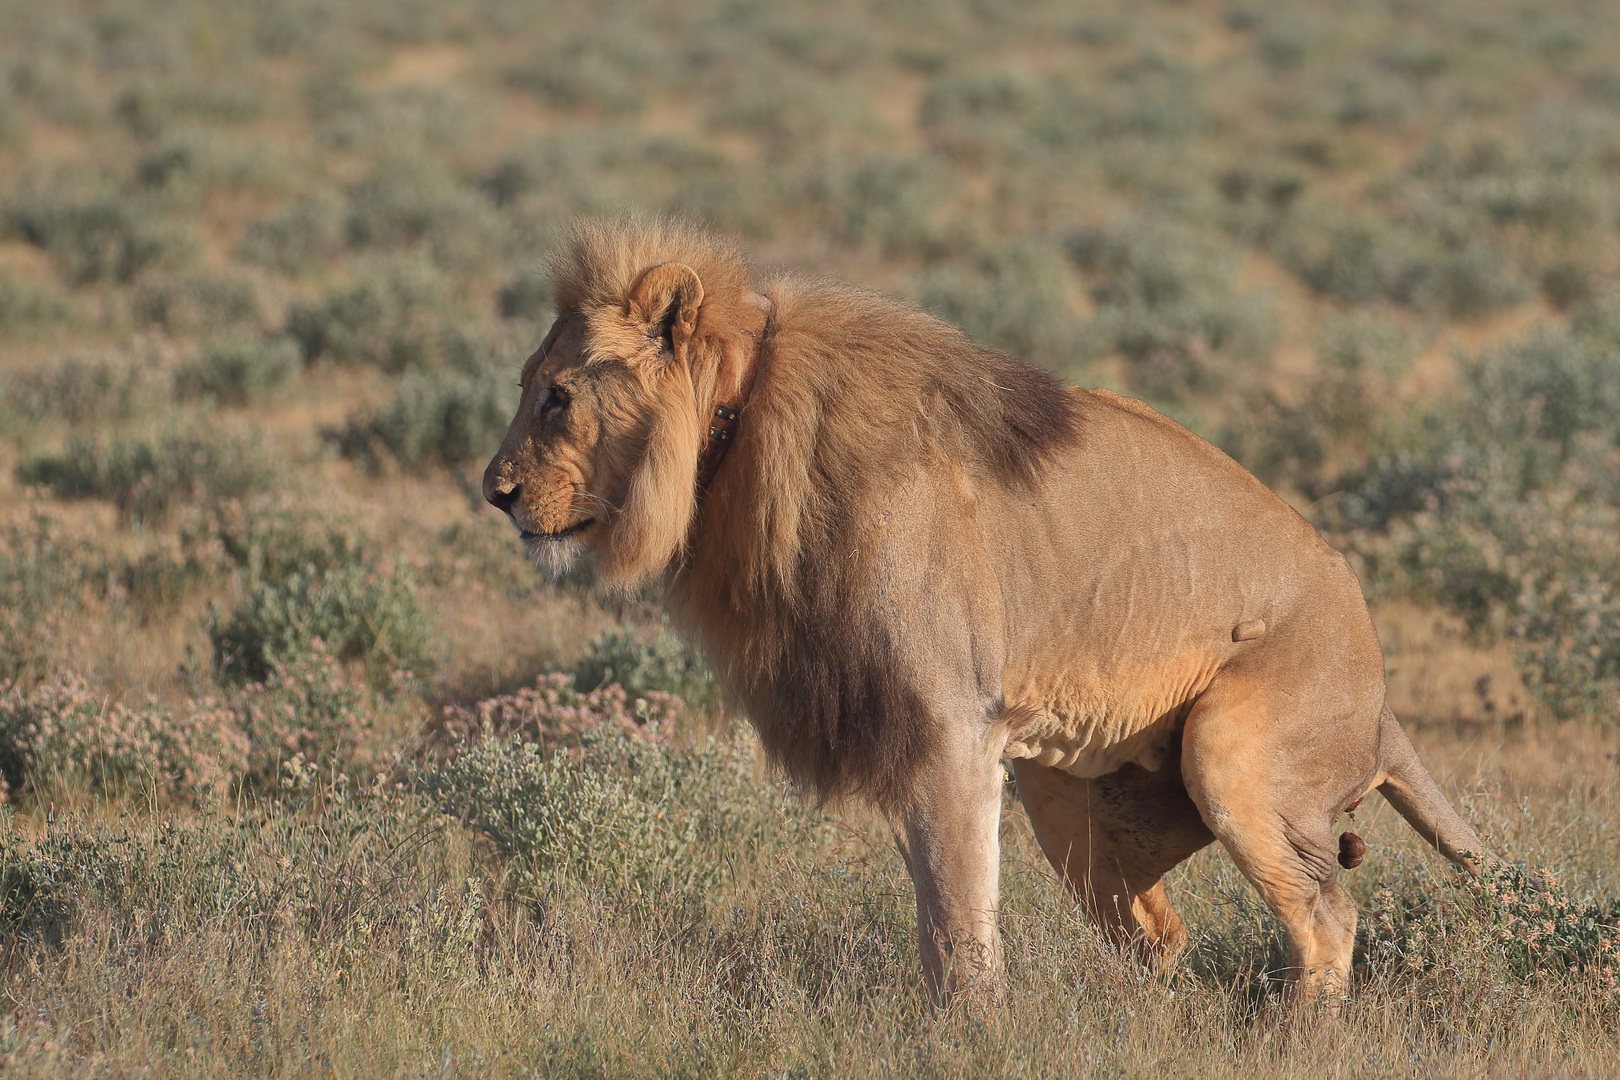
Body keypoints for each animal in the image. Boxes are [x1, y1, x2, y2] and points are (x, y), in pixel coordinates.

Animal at [479, 216, 1483, 1003]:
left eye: (556, 397)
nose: (493, 493)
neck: (732, 439)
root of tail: (1381, 694)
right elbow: (938, 914)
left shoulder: (950, 724)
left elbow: (960, 921)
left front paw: (971, 1036)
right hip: (1073, 807)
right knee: (1161, 937)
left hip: (1231, 753)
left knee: (1327, 913)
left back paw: (1295, 1034)